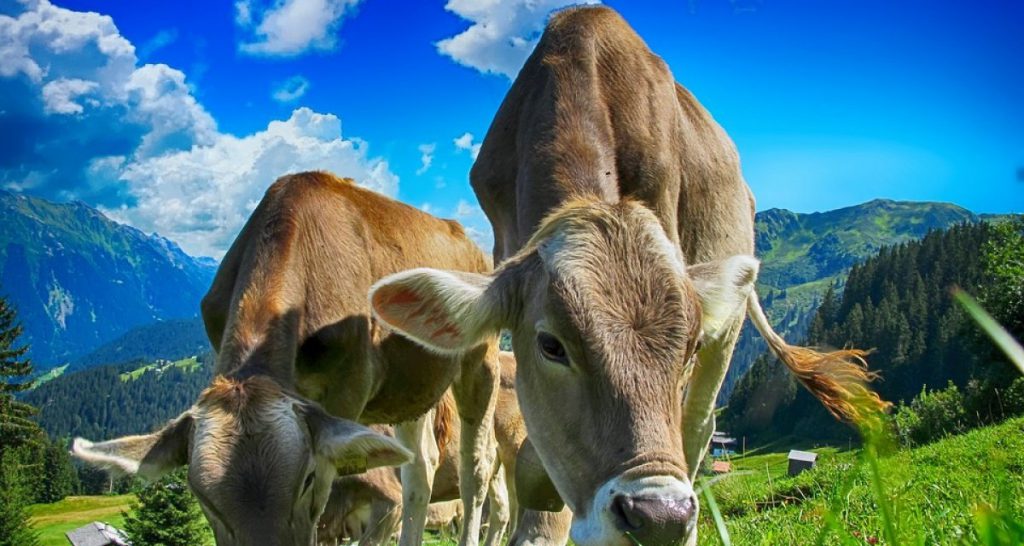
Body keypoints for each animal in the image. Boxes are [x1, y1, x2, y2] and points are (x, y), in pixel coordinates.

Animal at [73, 172, 503, 546]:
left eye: (307, 479)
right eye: (203, 499)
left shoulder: (346, 391)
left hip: (481, 359)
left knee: (475, 470)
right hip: (410, 387)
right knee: (420, 467)